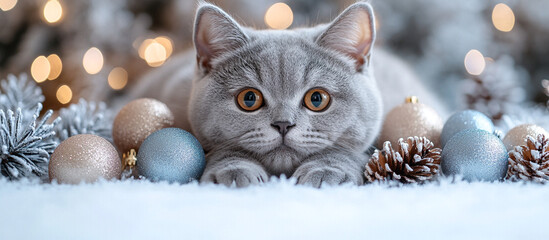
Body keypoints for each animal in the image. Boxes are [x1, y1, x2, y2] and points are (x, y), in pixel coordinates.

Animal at [128, 1, 446, 188]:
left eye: (317, 99)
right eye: (249, 99)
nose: (283, 124)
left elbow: (348, 149)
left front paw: (328, 172)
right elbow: (223, 148)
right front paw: (233, 171)